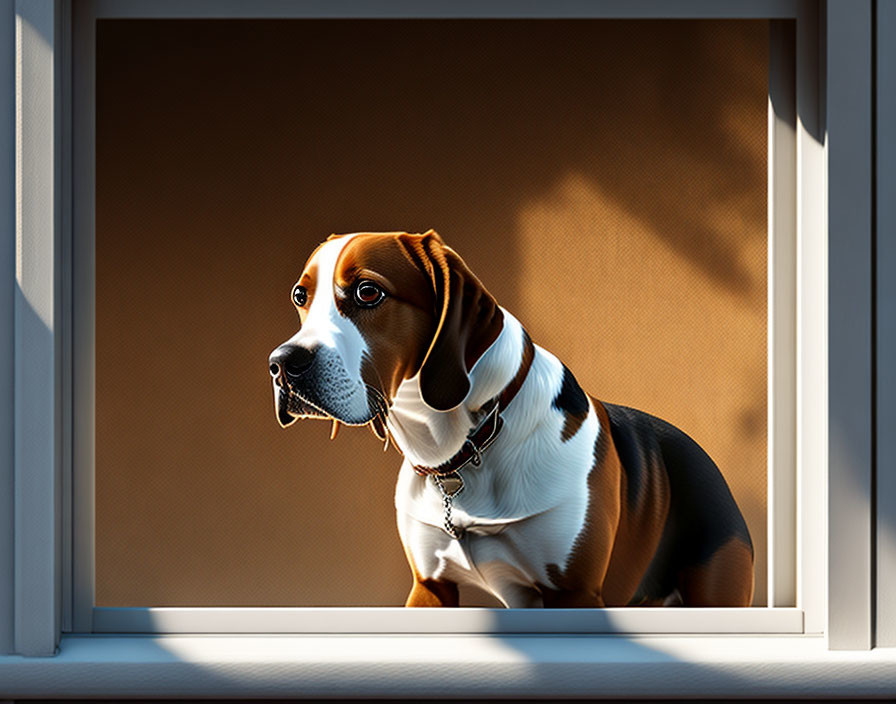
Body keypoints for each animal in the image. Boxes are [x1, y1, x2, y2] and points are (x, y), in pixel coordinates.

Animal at [270, 234, 752, 608]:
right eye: (300, 296)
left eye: (368, 292)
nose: (282, 364)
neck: (466, 445)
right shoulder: (431, 586)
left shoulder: (573, 594)